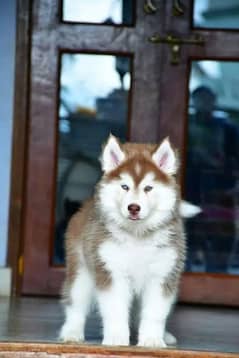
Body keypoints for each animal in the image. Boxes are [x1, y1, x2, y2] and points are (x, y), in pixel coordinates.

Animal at [59, 134, 200, 346]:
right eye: (124, 186)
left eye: (148, 188)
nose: (134, 207)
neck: (137, 236)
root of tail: (86, 205)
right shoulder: (111, 271)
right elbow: (115, 310)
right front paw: (116, 338)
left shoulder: (161, 275)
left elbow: (155, 313)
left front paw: (152, 340)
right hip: (81, 271)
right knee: (75, 303)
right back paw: (72, 333)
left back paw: (164, 335)